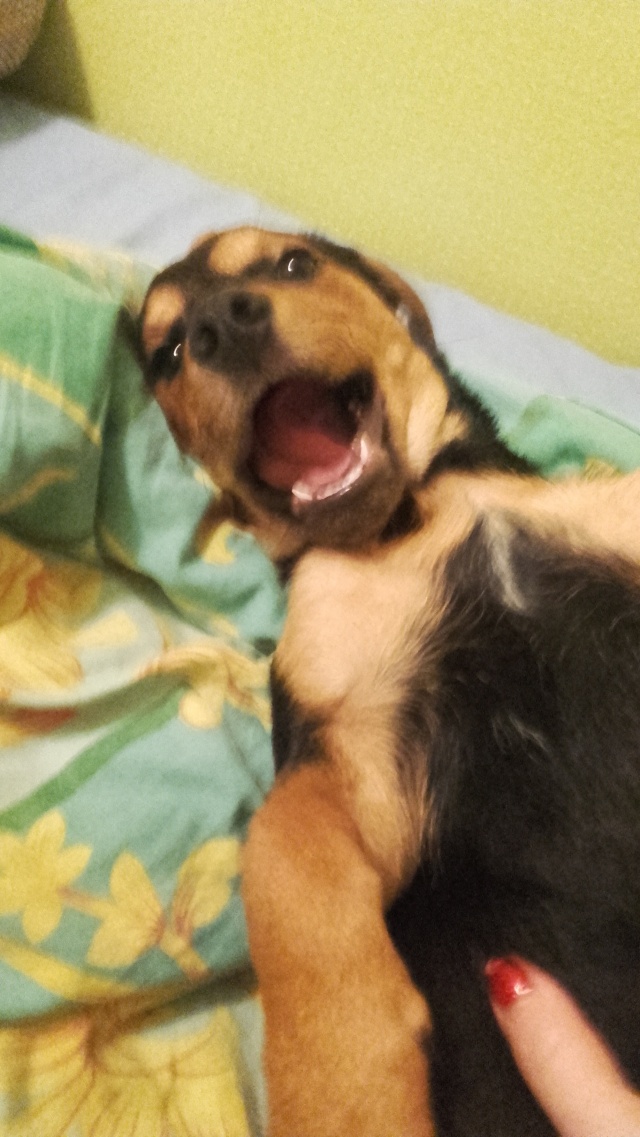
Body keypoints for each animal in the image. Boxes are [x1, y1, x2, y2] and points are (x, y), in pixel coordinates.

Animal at [140, 226, 640, 1137]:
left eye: (292, 264)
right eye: (167, 354)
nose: (221, 327)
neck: (426, 510)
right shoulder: (351, 740)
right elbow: (280, 852)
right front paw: (346, 1087)